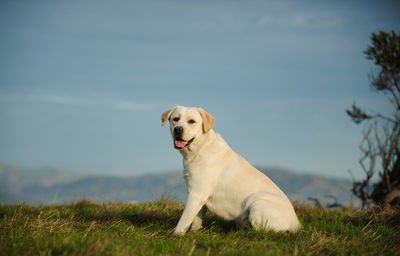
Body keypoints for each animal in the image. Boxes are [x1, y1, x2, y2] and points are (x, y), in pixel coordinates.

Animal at [161, 105, 298, 234]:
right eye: (175, 119)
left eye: (192, 121)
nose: (178, 129)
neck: (200, 149)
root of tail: (296, 225)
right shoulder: (199, 196)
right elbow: (196, 218)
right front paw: (194, 232)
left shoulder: (196, 194)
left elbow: (184, 219)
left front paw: (176, 234)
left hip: (256, 203)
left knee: (262, 231)